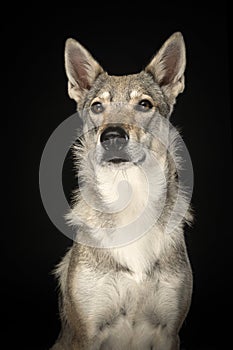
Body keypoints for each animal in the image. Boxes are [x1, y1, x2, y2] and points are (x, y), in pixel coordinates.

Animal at [51, 31, 193, 348]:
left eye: (144, 104)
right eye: (97, 107)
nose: (112, 136)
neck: (131, 200)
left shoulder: (170, 332)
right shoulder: (87, 334)